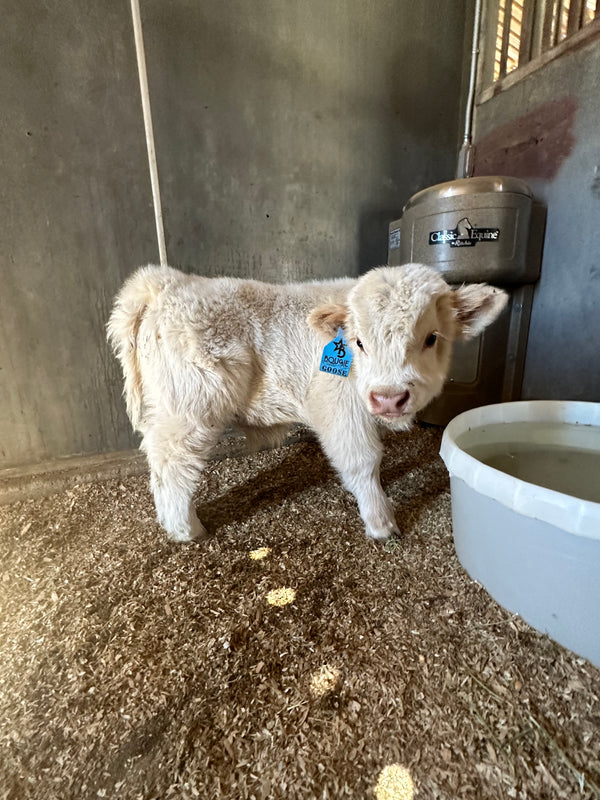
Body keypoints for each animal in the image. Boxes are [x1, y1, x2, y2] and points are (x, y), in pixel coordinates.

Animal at [107, 264, 507, 542]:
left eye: (432, 338)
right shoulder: (339, 411)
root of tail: (168, 282)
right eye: (358, 342)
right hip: (188, 412)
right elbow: (363, 461)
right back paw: (187, 530)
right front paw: (381, 523)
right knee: (174, 470)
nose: (389, 398)